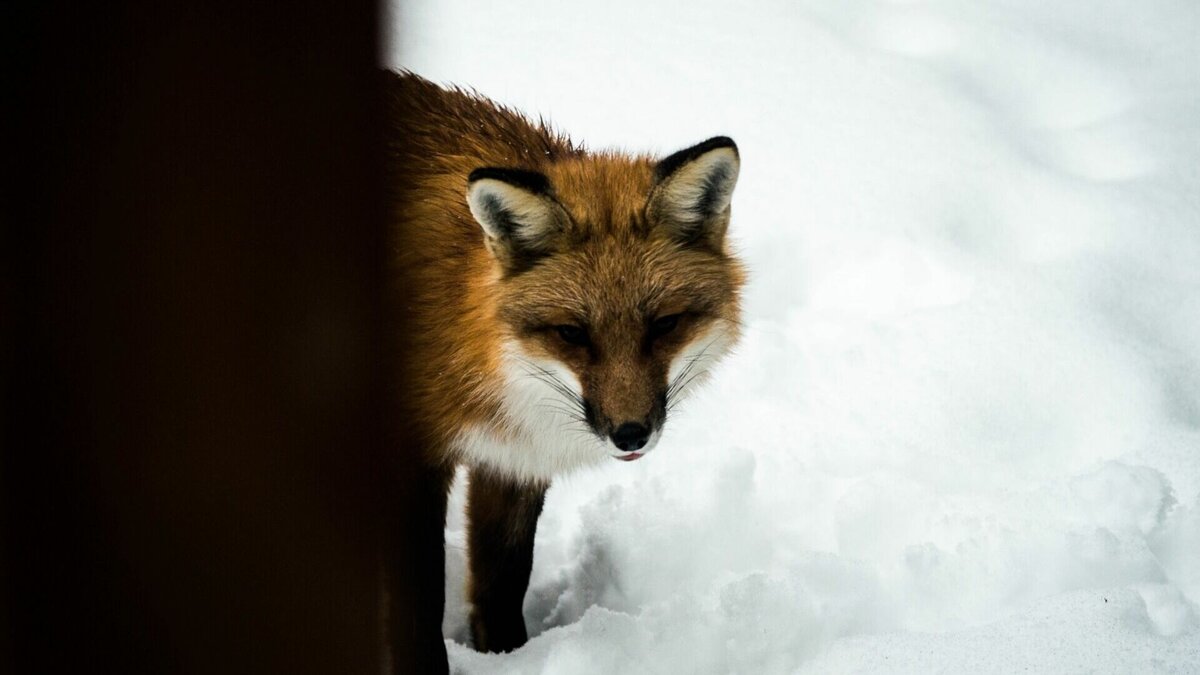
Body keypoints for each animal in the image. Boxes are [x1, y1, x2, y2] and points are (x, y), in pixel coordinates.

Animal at [384, 70, 744, 667]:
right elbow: (418, 607)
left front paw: (508, 658)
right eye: (573, 333)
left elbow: (502, 584)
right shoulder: (412, 458)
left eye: (664, 325)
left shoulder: (513, 462)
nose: (630, 434)